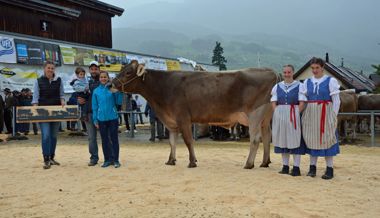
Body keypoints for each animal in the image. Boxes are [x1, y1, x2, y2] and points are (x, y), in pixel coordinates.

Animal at [111, 61, 278, 169]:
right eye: (122, 69)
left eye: (128, 72)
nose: (110, 84)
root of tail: (270, 71)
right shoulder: (171, 121)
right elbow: (172, 142)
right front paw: (171, 160)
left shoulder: (183, 118)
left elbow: (188, 140)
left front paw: (192, 162)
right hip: (265, 117)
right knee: (267, 136)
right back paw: (265, 162)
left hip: (255, 113)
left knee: (256, 139)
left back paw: (249, 164)